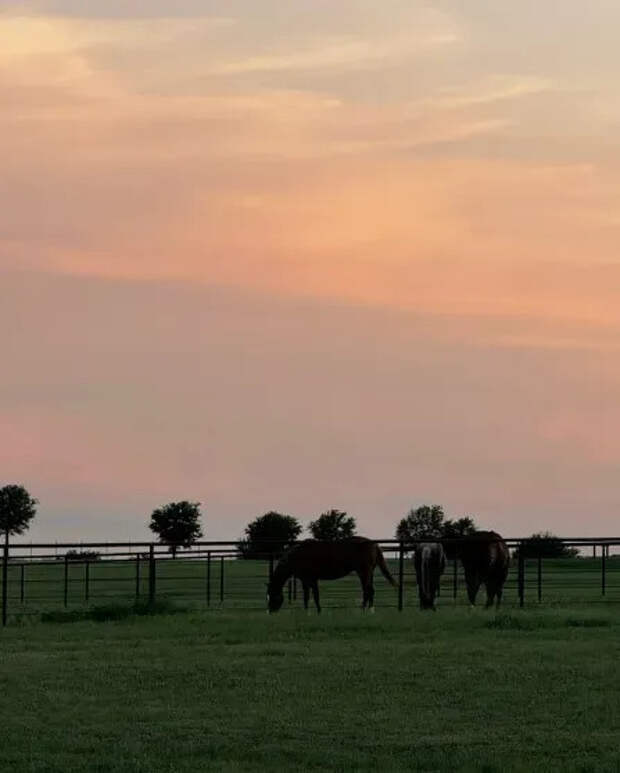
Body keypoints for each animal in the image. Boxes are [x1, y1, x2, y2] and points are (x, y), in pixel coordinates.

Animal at [266, 536, 398, 616]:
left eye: (273, 595)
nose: (270, 612)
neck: (298, 556)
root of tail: (374, 545)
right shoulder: (307, 580)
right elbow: (309, 596)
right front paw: (310, 612)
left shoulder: (311, 579)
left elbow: (313, 596)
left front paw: (315, 612)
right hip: (368, 573)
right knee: (369, 591)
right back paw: (368, 610)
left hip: (364, 572)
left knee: (368, 591)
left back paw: (364, 611)